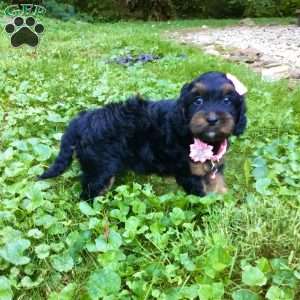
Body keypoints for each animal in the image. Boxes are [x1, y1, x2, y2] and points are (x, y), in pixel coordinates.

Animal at [39, 72, 246, 199]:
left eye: (227, 100)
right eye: (198, 101)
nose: (212, 119)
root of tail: (82, 119)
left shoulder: (215, 166)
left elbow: (218, 184)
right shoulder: (188, 172)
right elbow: (201, 195)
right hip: (100, 169)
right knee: (89, 194)